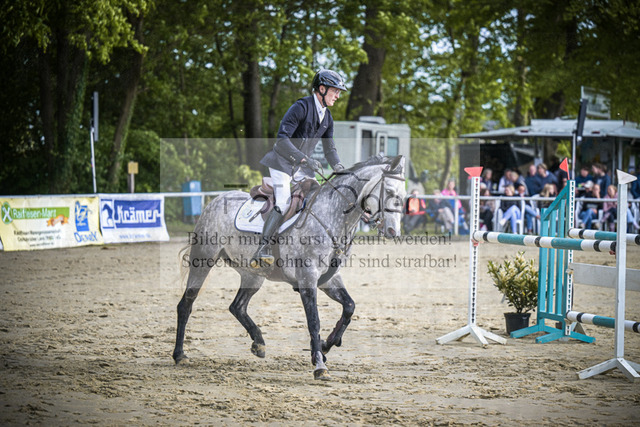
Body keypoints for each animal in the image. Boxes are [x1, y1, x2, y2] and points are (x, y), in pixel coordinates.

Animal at [172, 155, 406, 379]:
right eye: (388, 190)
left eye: (403, 195)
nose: (393, 231)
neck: (333, 217)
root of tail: (215, 200)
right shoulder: (307, 278)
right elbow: (314, 321)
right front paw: (320, 365)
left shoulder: (329, 278)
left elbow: (349, 307)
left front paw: (326, 345)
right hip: (203, 259)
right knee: (186, 304)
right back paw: (180, 355)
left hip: (253, 274)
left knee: (237, 306)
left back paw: (259, 343)